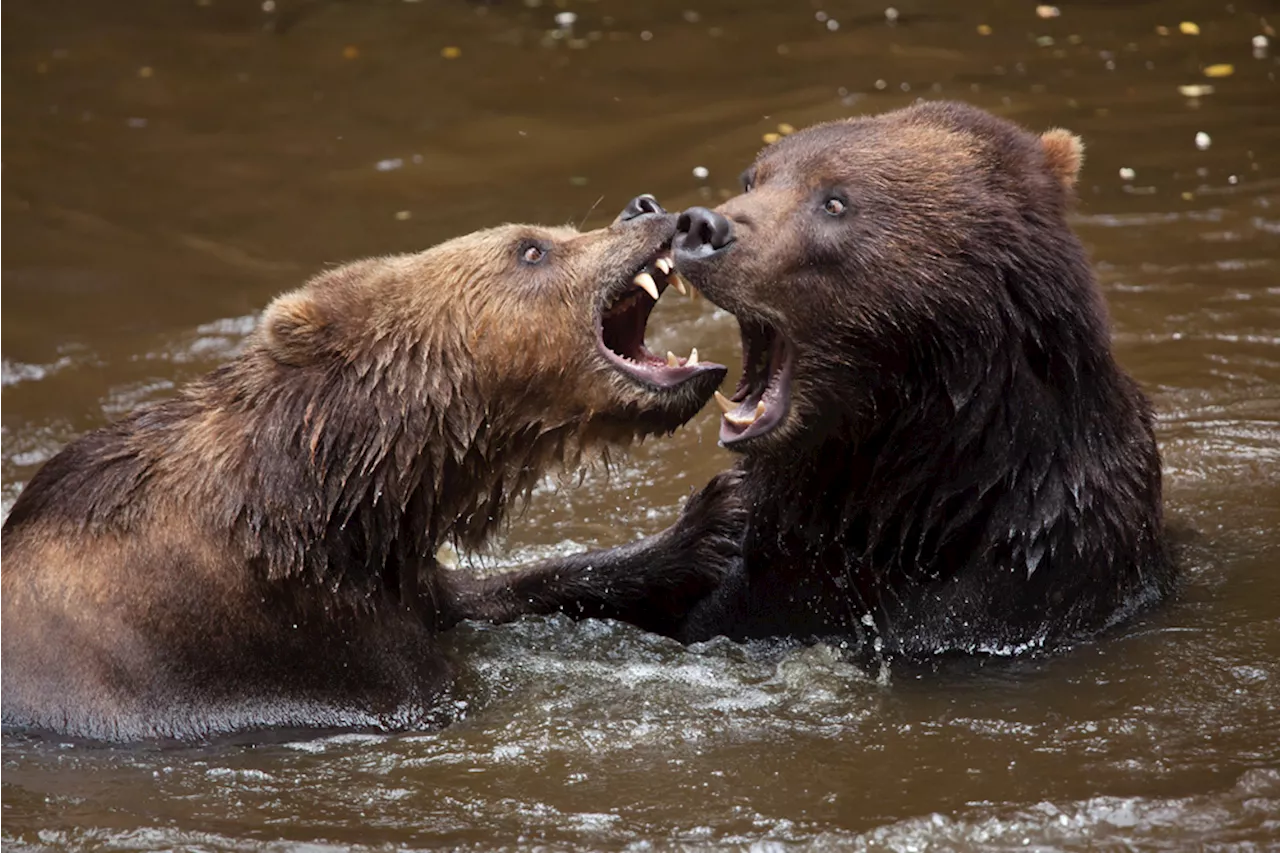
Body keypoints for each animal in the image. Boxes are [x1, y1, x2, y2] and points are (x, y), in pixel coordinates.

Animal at [0, 194, 742, 737]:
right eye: (530, 247)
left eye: (553, 231)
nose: (645, 206)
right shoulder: (294, 638)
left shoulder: (398, 575)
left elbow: (497, 591)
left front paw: (711, 524)